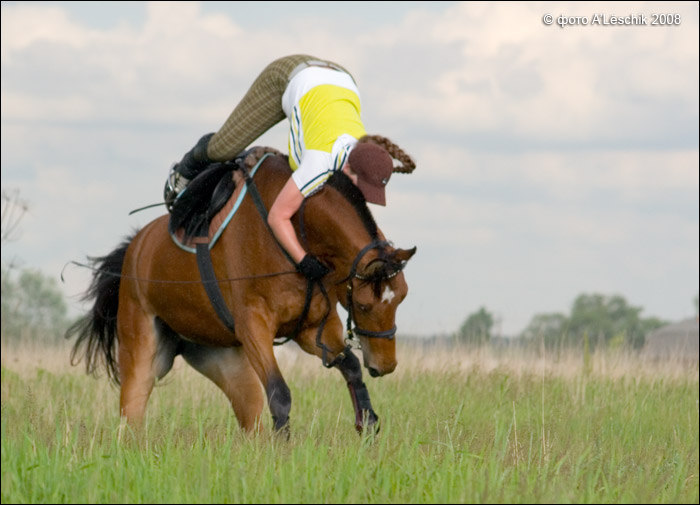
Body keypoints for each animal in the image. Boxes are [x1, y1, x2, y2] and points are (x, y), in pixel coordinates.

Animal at [65, 149, 416, 434]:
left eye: (401, 298)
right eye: (364, 305)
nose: (386, 365)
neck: (293, 233)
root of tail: (133, 247)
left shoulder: (310, 328)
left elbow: (350, 367)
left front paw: (367, 423)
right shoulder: (254, 327)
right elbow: (280, 393)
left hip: (224, 362)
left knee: (250, 415)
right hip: (142, 354)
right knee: (132, 412)